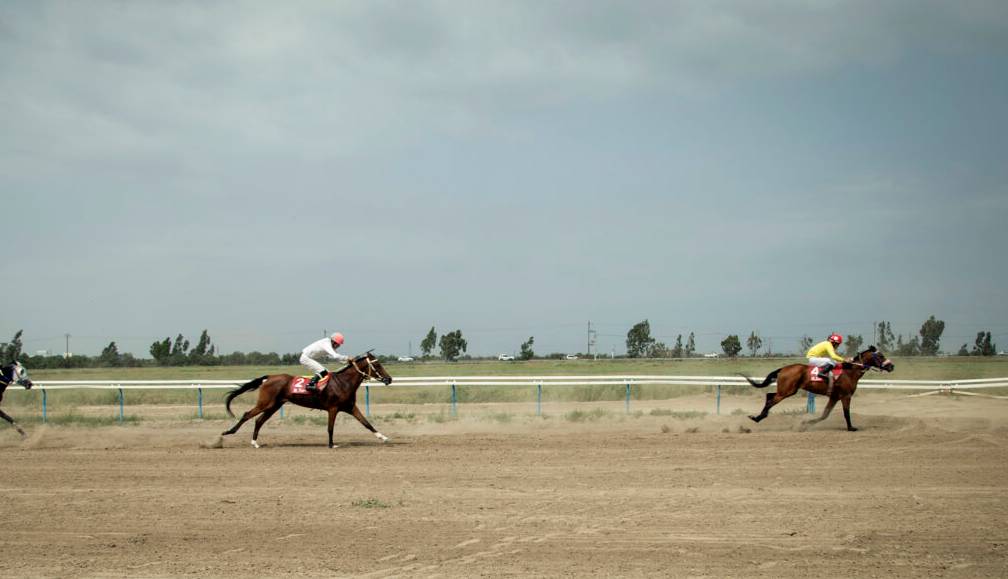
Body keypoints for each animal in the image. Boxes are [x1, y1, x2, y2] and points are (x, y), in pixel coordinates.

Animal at [223, 351, 393, 451]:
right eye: (377, 365)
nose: (389, 379)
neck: (343, 383)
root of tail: (269, 377)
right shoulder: (333, 408)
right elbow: (330, 428)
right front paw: (331, 444)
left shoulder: (350, 407)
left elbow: (367, 423)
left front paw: (384, 437)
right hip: (266, 403)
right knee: (247, 415)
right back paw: (227, 433)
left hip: (274, 405)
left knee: (259, 420)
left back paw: (255, 443)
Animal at [737, 346, 895, 433]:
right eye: (881, 355)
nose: (891, 366)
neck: (849, 371)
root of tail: (783, 369)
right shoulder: (846, 396)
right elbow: (846, 413)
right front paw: (851, 428)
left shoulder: (834, 397)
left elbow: (825, 414)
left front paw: (805, 424)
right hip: (787, 391)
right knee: (771, 400)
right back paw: (757, 418)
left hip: (786, 390)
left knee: (769, 395)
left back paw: (759, 417)